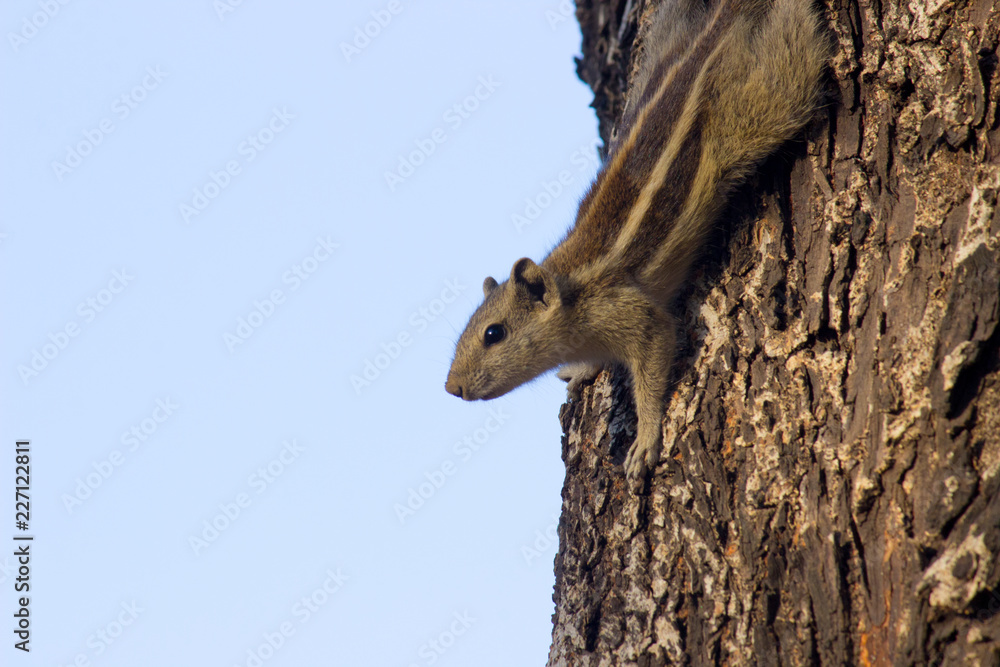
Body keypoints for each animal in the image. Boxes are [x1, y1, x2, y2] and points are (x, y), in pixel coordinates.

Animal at [445, 0, 828, 481]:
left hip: (763, 106)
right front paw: (579, 369)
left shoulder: (631, 315)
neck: (572, 294)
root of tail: (712, 36)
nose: (451, 387)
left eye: (494, 333)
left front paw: (645, 442)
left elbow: (652, 367)